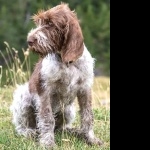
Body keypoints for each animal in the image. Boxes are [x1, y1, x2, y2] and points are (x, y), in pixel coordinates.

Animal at [9, 3, 102, 148]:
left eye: (50, 23)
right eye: (39, 22)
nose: (29, 40)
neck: (67, 62)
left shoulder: (85, 89)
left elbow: (87, 115)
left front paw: (90, 138)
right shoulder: (45, 91)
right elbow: (47, 119)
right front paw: (48, 143)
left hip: (68, 110)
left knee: (59, 128)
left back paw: (73, 131)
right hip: (23, 96)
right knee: (22, 127)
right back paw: (29, 132)